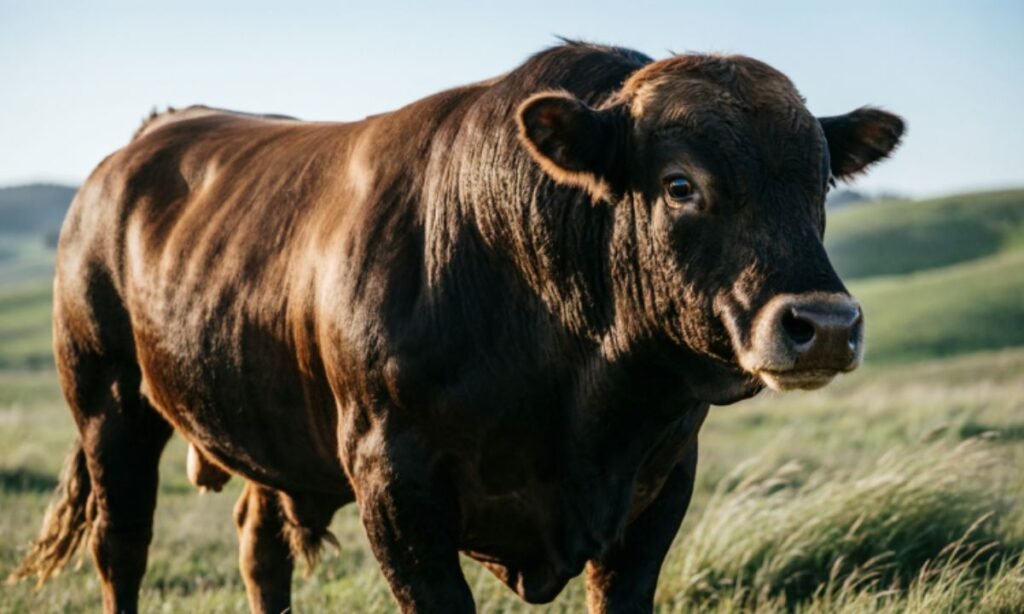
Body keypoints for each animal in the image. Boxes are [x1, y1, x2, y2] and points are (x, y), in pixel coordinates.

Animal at [9, 41, 903, 613]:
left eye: (820, 183)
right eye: (681, 184)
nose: (824, 324)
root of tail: (153, 133)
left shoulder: (656, 489)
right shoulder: (395, 485)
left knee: (260, 550)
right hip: (108, 403)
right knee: (121, 547)